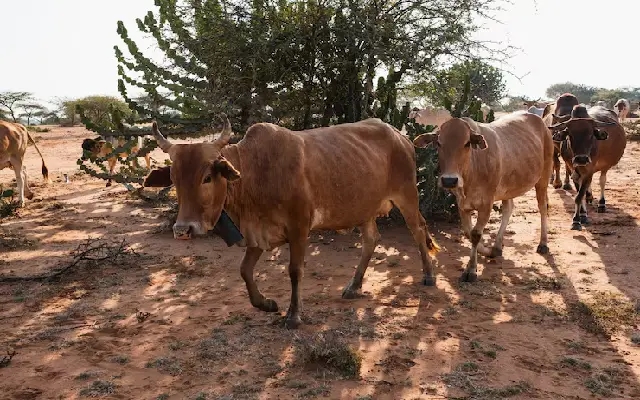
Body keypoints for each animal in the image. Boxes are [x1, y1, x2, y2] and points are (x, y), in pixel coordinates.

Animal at [142, 117, 441, 329]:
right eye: (174, 179)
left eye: (206, 177)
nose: (183, 229)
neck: (255, 172)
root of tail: (401, 137)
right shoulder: (258, 233)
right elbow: (244, 270)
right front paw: (265, 303)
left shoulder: (299, 229)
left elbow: (295, 271)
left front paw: (294, 315)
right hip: (364, 208)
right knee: (371, 240)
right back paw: (354, 286)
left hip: (407, 196)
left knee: (418, 231)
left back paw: (428, 276)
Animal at [412, 111, 554, 283]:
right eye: (439, 143)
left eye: (467, 143)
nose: (449, 180)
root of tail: (540, 121)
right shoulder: (462, 204)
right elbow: (468, 233)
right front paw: (489, 252)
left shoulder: (487, 203)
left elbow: (476, 234)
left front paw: (471, 270)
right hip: (508, 188)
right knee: (508, 209)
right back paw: (497, 246)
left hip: (543, 178)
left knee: (543, 207)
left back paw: (543, 243)